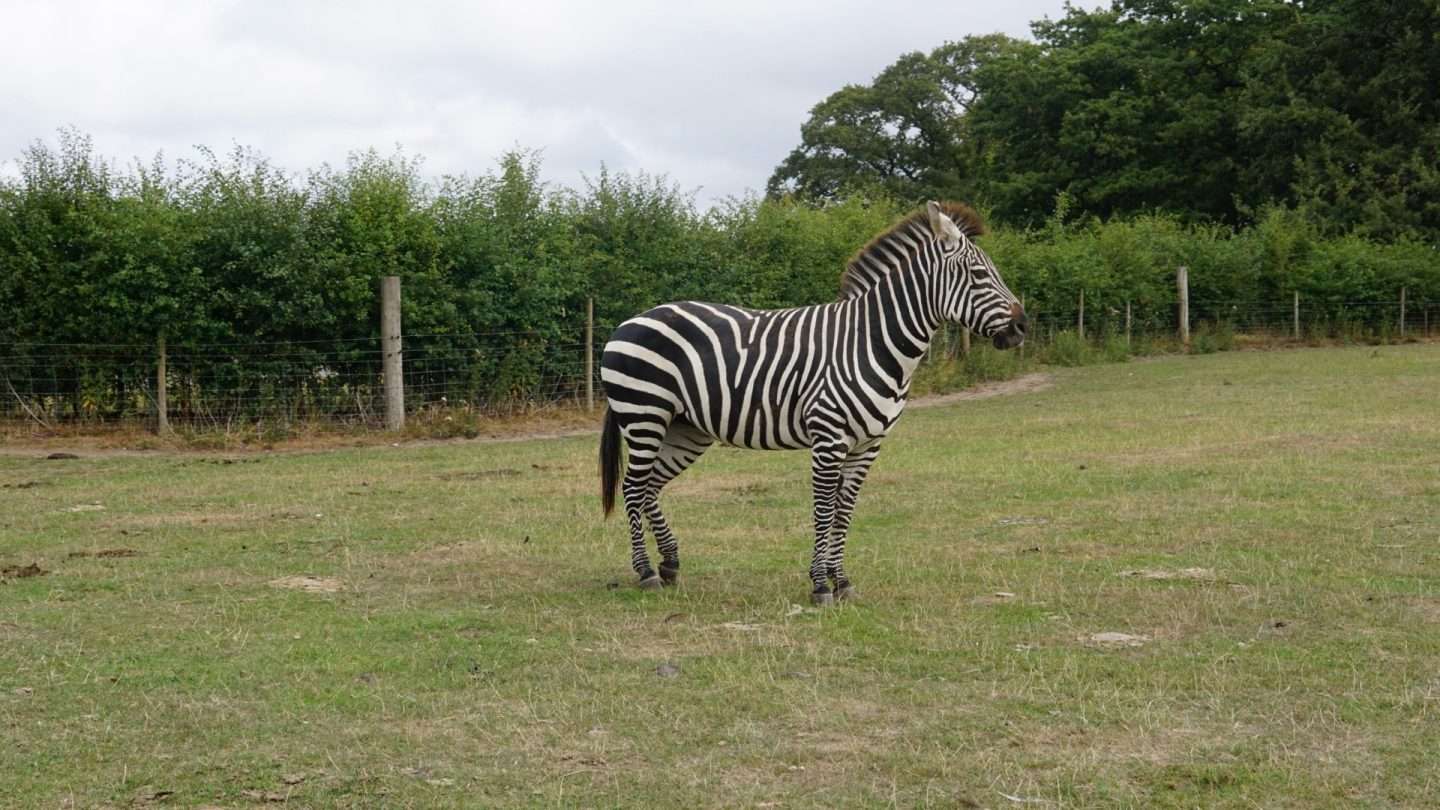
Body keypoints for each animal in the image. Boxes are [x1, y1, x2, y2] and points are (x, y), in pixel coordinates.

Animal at [598, 201, 1026, 604]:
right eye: (979, 274)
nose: (1022, 327)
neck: (871, 342)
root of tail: (629, 321)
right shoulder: (829, 439)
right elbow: (823, 511)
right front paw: (821, 586)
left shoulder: (868, 445)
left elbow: (844, 513)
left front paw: (842, 582)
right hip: (644, 416)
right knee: (633, 487)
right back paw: (646, 572)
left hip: (686, 428)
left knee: (651, 487)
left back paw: (669, 563)